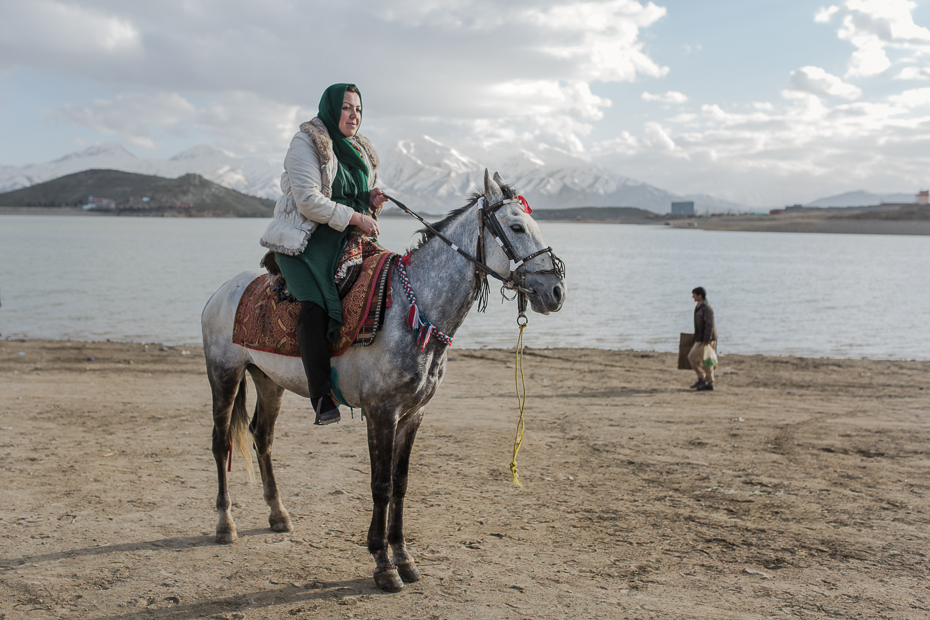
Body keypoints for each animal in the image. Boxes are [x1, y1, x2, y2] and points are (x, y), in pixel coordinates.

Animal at [201, 170, 564, 592]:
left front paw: (404, 557)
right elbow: (381, 485)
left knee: (263, 437)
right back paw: (225, 524)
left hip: (268, 380)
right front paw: (382, 562)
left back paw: (278, 515)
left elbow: (401, 483)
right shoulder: (381, 413)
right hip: (224, 374)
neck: (414, 308)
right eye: (517, 226)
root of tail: (221, 292)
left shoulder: (412, 415)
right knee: (221, 441)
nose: (556, 290)